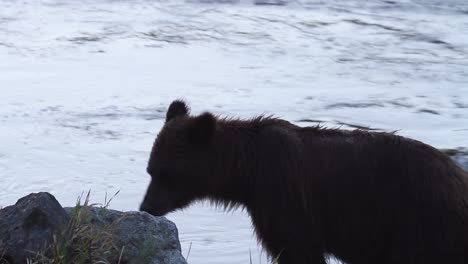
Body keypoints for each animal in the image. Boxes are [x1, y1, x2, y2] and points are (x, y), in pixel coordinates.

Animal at [139, 99, 468, 264]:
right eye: (150, 170)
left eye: (166, 173)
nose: (146, 206)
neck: (246, 173)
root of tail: (458, 176)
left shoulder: (286, 195)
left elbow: (298, 248)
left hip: (418, 223)